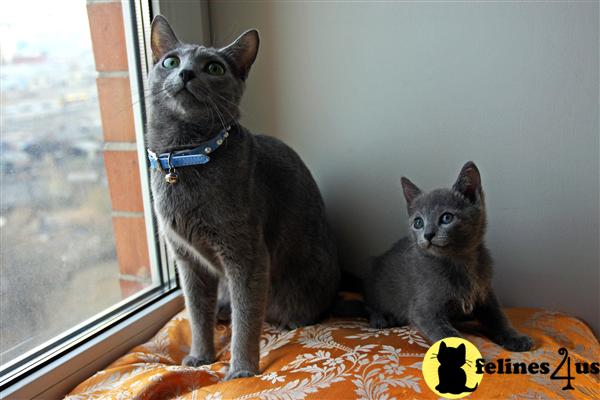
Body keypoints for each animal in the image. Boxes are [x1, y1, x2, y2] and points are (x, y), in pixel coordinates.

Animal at [147, 14, 340, 378]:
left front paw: (241, 370)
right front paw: (200, 356)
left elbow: (247, 318)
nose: (186, 73)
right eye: (170, 61)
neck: (186, 155)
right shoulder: (188, 260)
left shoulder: (247, 255)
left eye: (214, 67)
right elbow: (196, 314)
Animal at [364, 161, 532, 352]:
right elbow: (449, 334)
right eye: (418, 222)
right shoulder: (424, 310)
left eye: (446, 218)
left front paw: (514, 337)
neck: (460, 262)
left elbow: (499, 317)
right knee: (368, 305)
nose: (428, 234)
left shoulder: (486, 293)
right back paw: (381, 318)